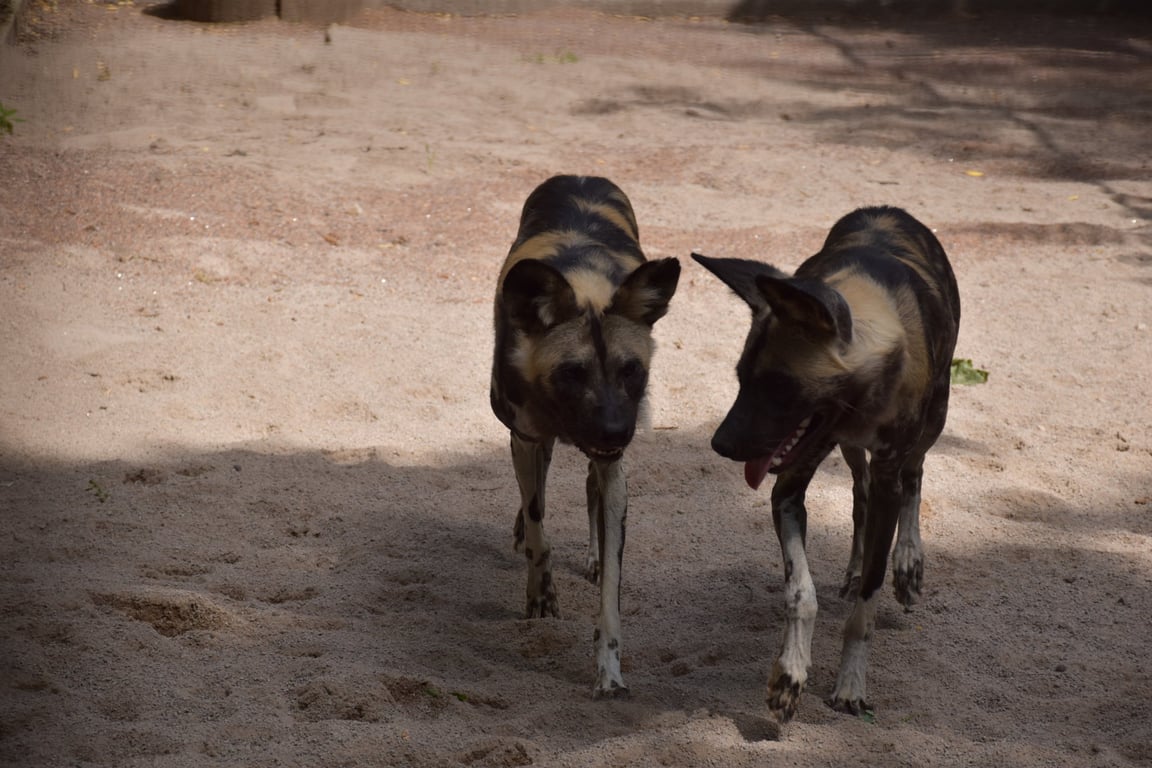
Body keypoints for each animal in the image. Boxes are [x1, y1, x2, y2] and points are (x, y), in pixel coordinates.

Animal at [488, 176, 677, 704]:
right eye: (572, 372)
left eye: (631, 370)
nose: (614, 429)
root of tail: (580, 177)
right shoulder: (527, 438)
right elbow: (538, 525)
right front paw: (540, 594)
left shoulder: (614, 464)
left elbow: (611, 590)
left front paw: (609, 671)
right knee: (537, 494)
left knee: (590, 489)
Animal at [691, 207, 963, 723]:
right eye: (740, 378)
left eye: (778, 386)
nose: (720, 444)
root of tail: (888, 210)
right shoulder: (788, 487)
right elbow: (802, 593)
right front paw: (790, 673)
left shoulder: (888, 475)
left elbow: (865, 610)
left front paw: (851, 683)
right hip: (850, 452)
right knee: (859, 495)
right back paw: (855, 569)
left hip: (933, 422)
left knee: (914, 478)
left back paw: (908, 561)